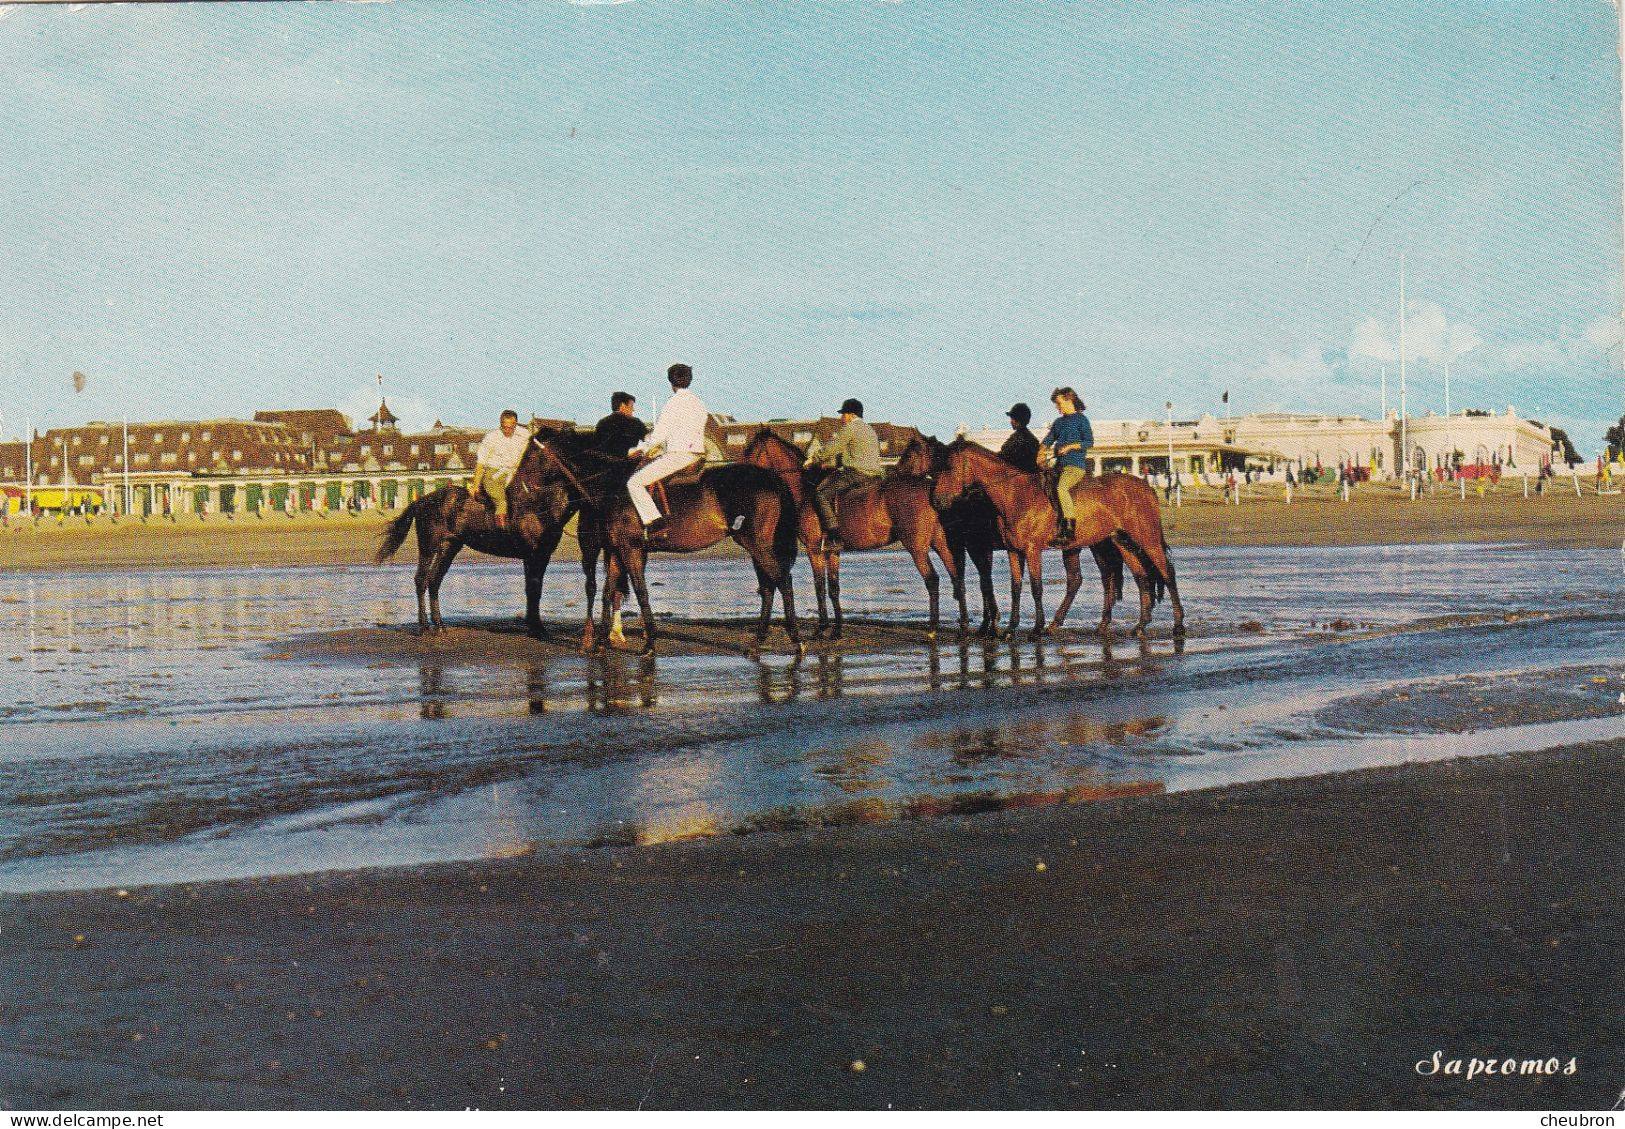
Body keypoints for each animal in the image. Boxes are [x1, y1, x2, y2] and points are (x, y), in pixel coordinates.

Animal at [529, 432, 802, 662]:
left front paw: (649, 643)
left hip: (756, 543)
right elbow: (608, 593)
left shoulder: (631, 549)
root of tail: (770, 477)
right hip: (757, 546)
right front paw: (601, 643)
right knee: (769, 587)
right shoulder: (617, 551)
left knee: (782, 581)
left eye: (532, 454)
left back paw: (796, 641)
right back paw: (757, 643)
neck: (610, 485)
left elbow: (640, 592)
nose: (525, 486)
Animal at [744, 432, 968, 640]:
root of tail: (930, 488)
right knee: (956, 576)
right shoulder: (832, 552)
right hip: (940, 542)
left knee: (932, 580)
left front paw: (821, 628)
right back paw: (963, 627)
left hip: (916, 547)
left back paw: (932, 628)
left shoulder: (814, 550)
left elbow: (819, 587)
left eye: (751, 451)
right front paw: (836, 630)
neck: (806, 490)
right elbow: (833, 588)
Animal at [929, 438, 1183, 640]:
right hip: (1122, 542)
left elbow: (1036, 587)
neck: (1015, 495)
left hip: (1146, 539)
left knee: (1167, 573)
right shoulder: (1013, 551)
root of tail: (1145, 487)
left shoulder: (1031, 550)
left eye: (949, 466)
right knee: (1140, 578)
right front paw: (1010, 628)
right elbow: (1015, 587)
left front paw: (1036, 628)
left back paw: (1178, 625)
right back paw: (1139, 625)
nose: (935, 500)